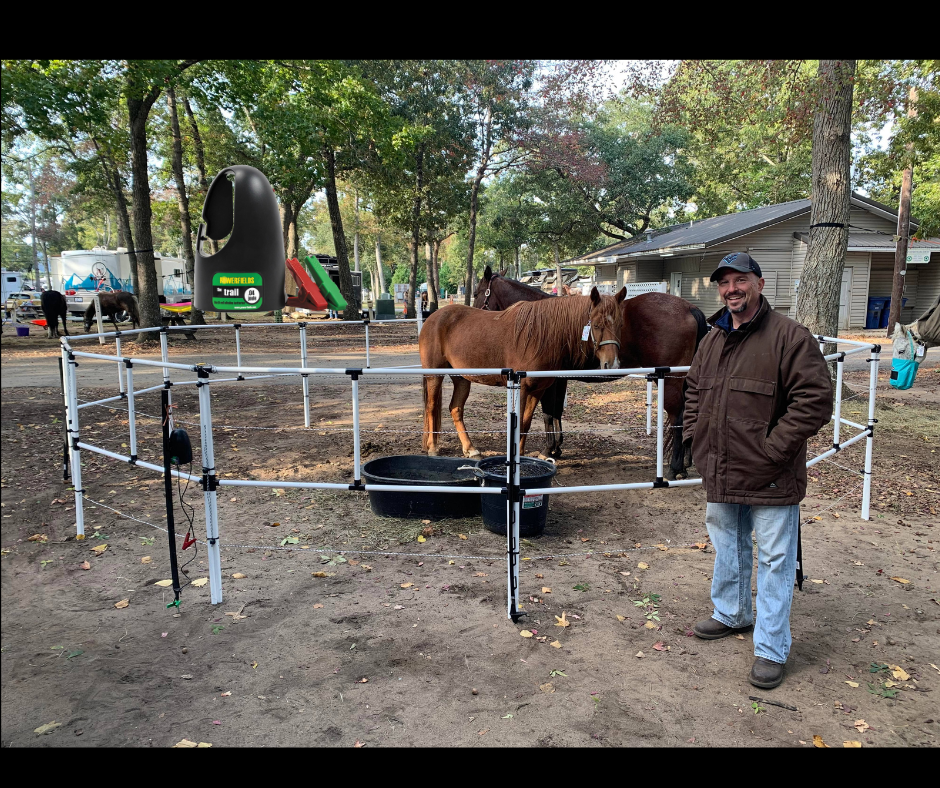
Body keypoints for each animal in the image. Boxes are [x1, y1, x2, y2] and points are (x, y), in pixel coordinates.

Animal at [421, 286, 627, 459]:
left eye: (619, 324)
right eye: (597, 325)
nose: (612, 364)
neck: (539, 336)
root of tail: (432, 318)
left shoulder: (537, 390)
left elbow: (526, 424)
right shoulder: (521, 389)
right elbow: (520, 423)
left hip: (462, 378)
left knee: (456, 409)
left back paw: (470, 449)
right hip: (434, 375)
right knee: (431, 407)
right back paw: (432, 447)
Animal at [474, 266, 709, 479]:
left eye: (477, 293)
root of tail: (689, 308)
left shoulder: (550, 381)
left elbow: (548, 413)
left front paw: (549, 448)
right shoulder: (559, 380)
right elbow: (556, 412)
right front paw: (556, 447)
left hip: (670, 380)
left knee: (678, 416)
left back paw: (675, 468)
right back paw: (686, 462)